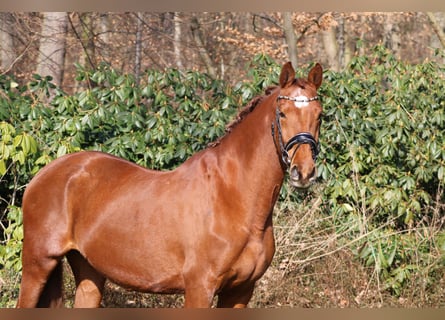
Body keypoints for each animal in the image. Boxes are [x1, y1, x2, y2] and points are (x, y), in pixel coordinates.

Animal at [16, 62, 322, 308]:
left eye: (319, 114)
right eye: (282, 113)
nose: (303, 172)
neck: (232, 196)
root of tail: (45, 174)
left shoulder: (240, 291)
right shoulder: (200, 288)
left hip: (89, 271)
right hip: (37, 264)